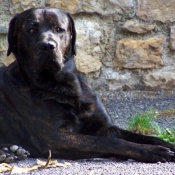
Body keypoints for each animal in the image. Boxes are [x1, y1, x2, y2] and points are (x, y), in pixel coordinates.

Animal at [0, 7, 174, 163]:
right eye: (31, 30)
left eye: (59, 29)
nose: (47, 45)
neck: (65, 86)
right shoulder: (54, 137)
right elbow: (108, 142)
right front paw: (152, 151)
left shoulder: (104, 127)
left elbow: (145, 137)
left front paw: (167, 146)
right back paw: (6, 152)